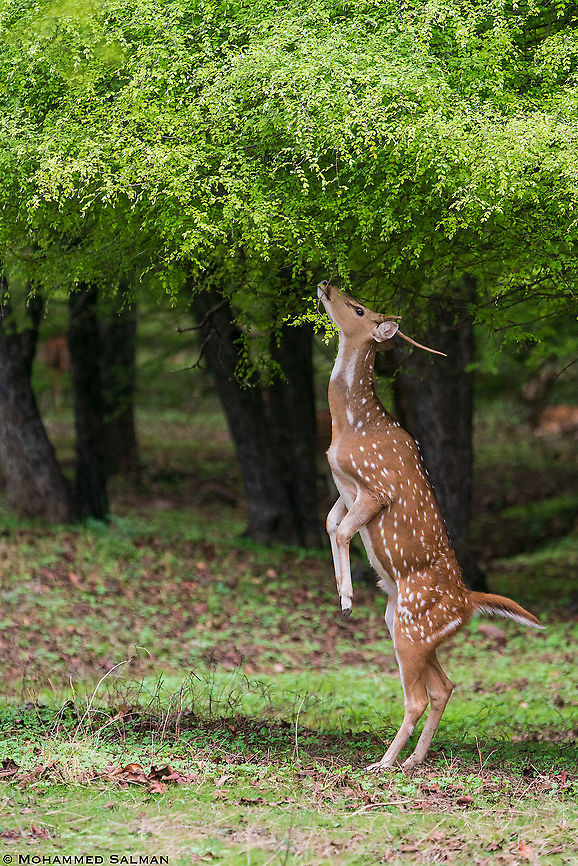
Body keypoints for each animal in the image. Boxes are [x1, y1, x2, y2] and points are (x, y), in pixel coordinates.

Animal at [317, 281, 543, 772]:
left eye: (358, 308)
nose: (325, 284)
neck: (351, 427)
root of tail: (469, 602)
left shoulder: (376, 489)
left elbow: (341, 530)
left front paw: (346, 599)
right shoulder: (345, 487)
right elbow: (329, 524)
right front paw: (341, 592)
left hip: (411, 627)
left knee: (419, 697)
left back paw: (383, 763)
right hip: (411, 626)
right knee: (445, 686)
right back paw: (412, 761)